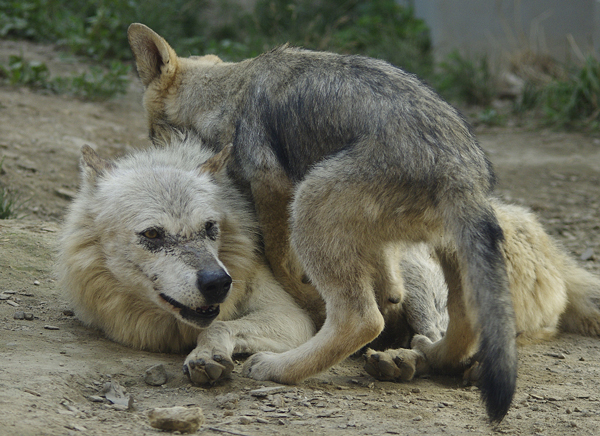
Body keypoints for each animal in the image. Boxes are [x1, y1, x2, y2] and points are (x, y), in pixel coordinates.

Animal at [58, 136, 316, 384]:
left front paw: (206, 354)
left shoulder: (290, 315)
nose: (217, 283)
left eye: (209, 226)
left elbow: (218, 325)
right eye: (152, 234)